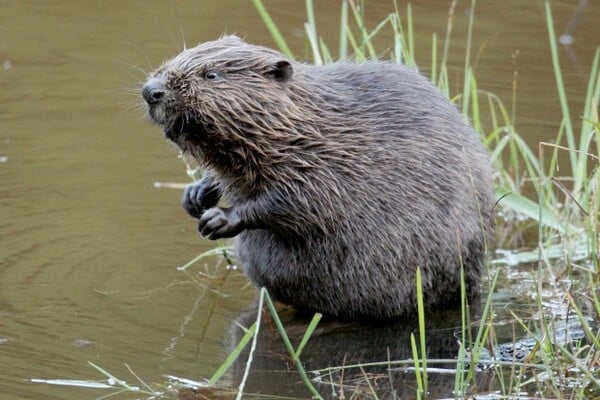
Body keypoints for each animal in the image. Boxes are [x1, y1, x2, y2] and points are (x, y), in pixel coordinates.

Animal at [143, 35, 494, 322]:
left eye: (211, 75)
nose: (151, 91)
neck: (302, 123)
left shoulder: (325, 164)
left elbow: (300, 202)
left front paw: (218, 219)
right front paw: (196, 195)